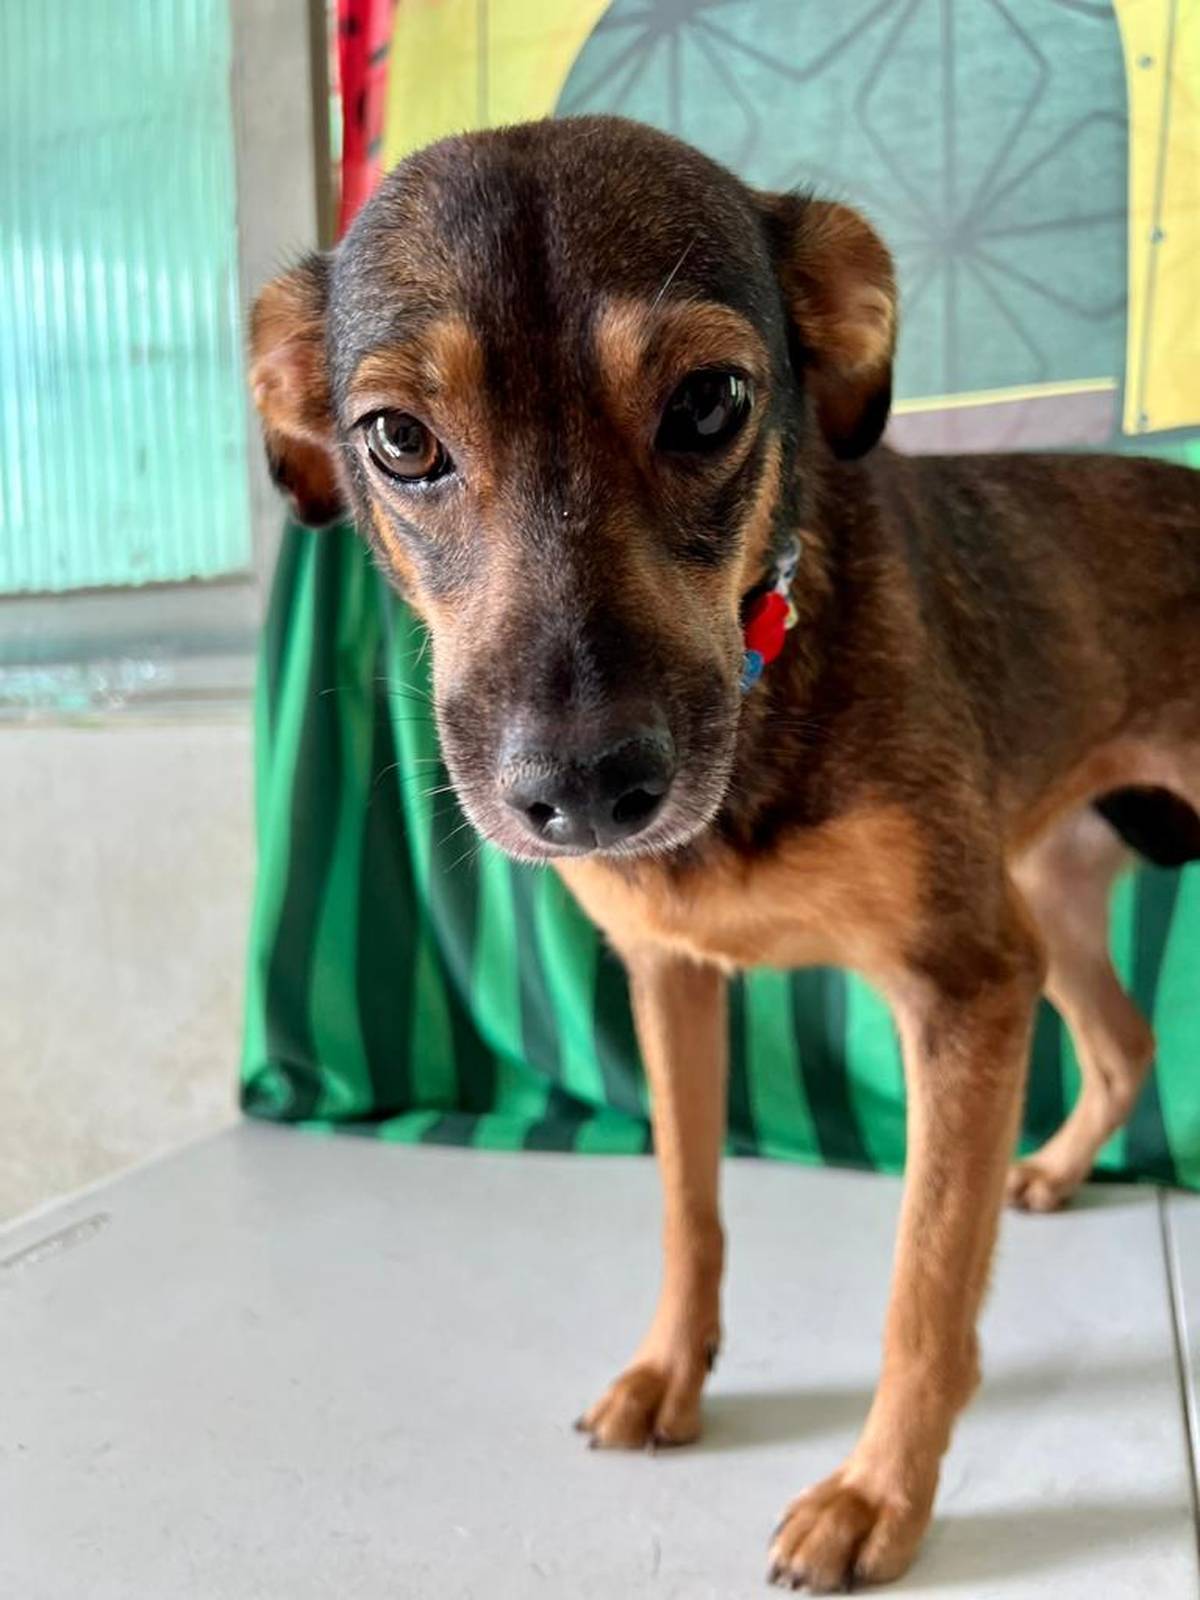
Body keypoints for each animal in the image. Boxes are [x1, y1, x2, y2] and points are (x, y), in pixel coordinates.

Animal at [249, 116, 1200, 1590]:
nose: (586, 793)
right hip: (1046, 886)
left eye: (711, 402)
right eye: (399, 437)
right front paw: (668, 1375)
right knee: (1124, 1039)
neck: (770, 676)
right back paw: (1049, 1169)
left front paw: (879, 1495)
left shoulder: (963, 989)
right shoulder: (671, 974)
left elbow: (925, 1286)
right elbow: (687, 1208)